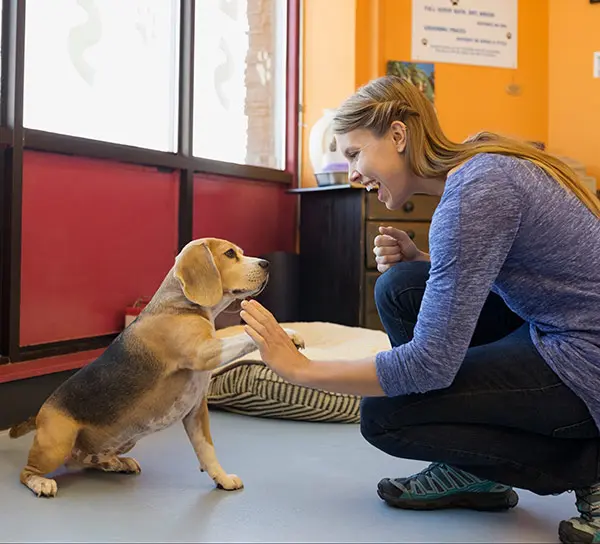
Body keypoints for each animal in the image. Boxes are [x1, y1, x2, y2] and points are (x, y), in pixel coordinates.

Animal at [10, 238, 304, 498]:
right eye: (230, 254)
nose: (266, 263)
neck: (180, 304)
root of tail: (40, 415)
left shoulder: (196, 410)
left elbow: (207, 450)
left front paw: (222, 478)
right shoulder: (204, 352)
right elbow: (242, 334)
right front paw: (287, 334)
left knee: (90, 460)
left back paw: (117, 463)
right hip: (57, 443)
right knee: (27, 472)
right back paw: (41, 482)